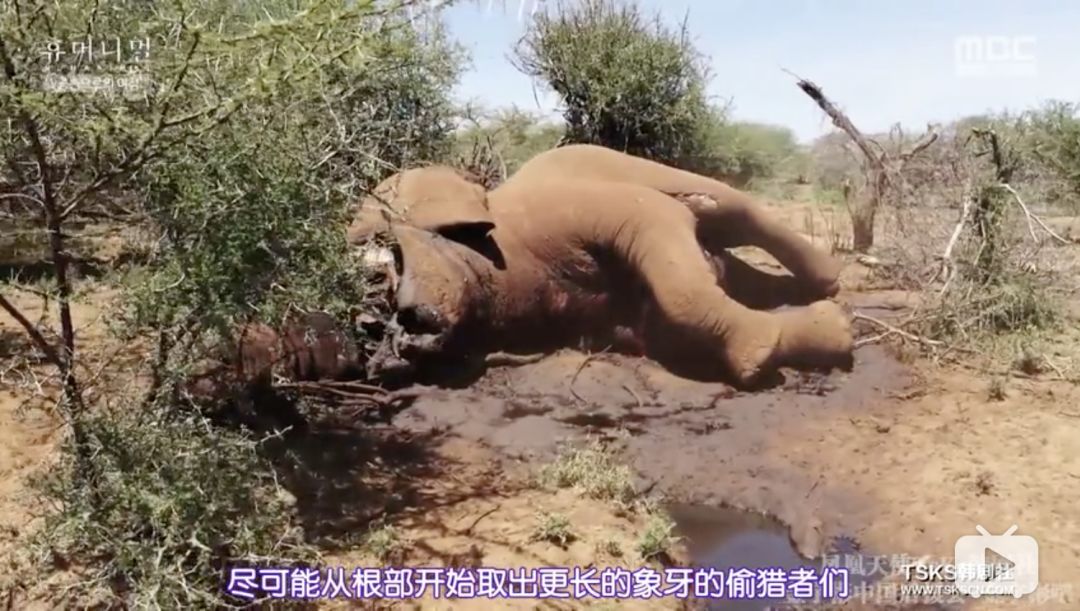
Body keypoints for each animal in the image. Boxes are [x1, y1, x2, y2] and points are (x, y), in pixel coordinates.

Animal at [346, 144, 854, 387]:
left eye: (383, 268)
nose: (389, 338)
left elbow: (661, 228)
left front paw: (758, 356)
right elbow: (657, 332)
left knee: (728, 206)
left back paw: (830, 281)